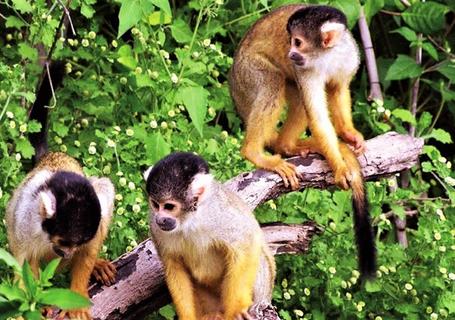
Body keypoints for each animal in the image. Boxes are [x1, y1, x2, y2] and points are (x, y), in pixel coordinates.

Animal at [6, 61, 116, 318]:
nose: (68, 254)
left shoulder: (96, 217)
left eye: (77, 243)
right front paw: (33, 305)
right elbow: (24, 262)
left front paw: (77, 296)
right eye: (65, 241)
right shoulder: (25, 218)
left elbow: (91, 244)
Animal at [144, 152, 276, 320]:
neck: (189, 219)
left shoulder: (219, 212)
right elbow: (174, 266)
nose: (160, 219)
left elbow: (246, 243)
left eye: (169, 206)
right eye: (155, 204)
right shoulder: (155, 227)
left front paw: (237, 307)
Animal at [232, 5, 378, 278]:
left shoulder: (349, 57)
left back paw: (288, 146)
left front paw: (350, 134)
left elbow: (338, 91)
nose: (290, 53)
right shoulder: (305, 69)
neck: (328, 56)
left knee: (294, 95)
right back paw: (254, 152)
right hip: (247, 75)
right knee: (272, 83)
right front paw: (339, 167)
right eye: (290, 41)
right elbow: (318, 116)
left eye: (298, 42)